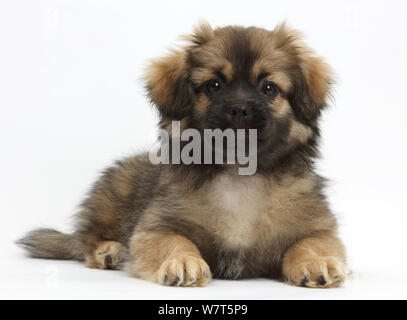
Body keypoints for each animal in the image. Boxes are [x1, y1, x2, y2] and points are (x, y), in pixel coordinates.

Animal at [18, 22, 348, 288]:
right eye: (213, 85)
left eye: (269, 88)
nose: (239, 109)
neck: (238, 172)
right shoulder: (157, 227)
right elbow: (175, 241)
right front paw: (183, 262)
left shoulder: (318, 228)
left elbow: (307, 245)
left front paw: (315, 262)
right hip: (112, 197)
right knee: (86, 240)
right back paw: (108, 251)